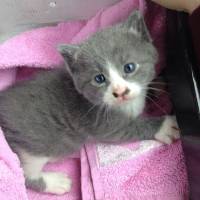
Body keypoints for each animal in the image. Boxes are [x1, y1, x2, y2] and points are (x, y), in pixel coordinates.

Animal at [0, 10, 180, 194]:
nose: (120, 92)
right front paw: (165, 126)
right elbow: (130, 128)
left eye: (129, 67)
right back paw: (55, 182)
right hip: (31, 147)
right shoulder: (102, 124)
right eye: (99, 78)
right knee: (24, 175)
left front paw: (159, 85)